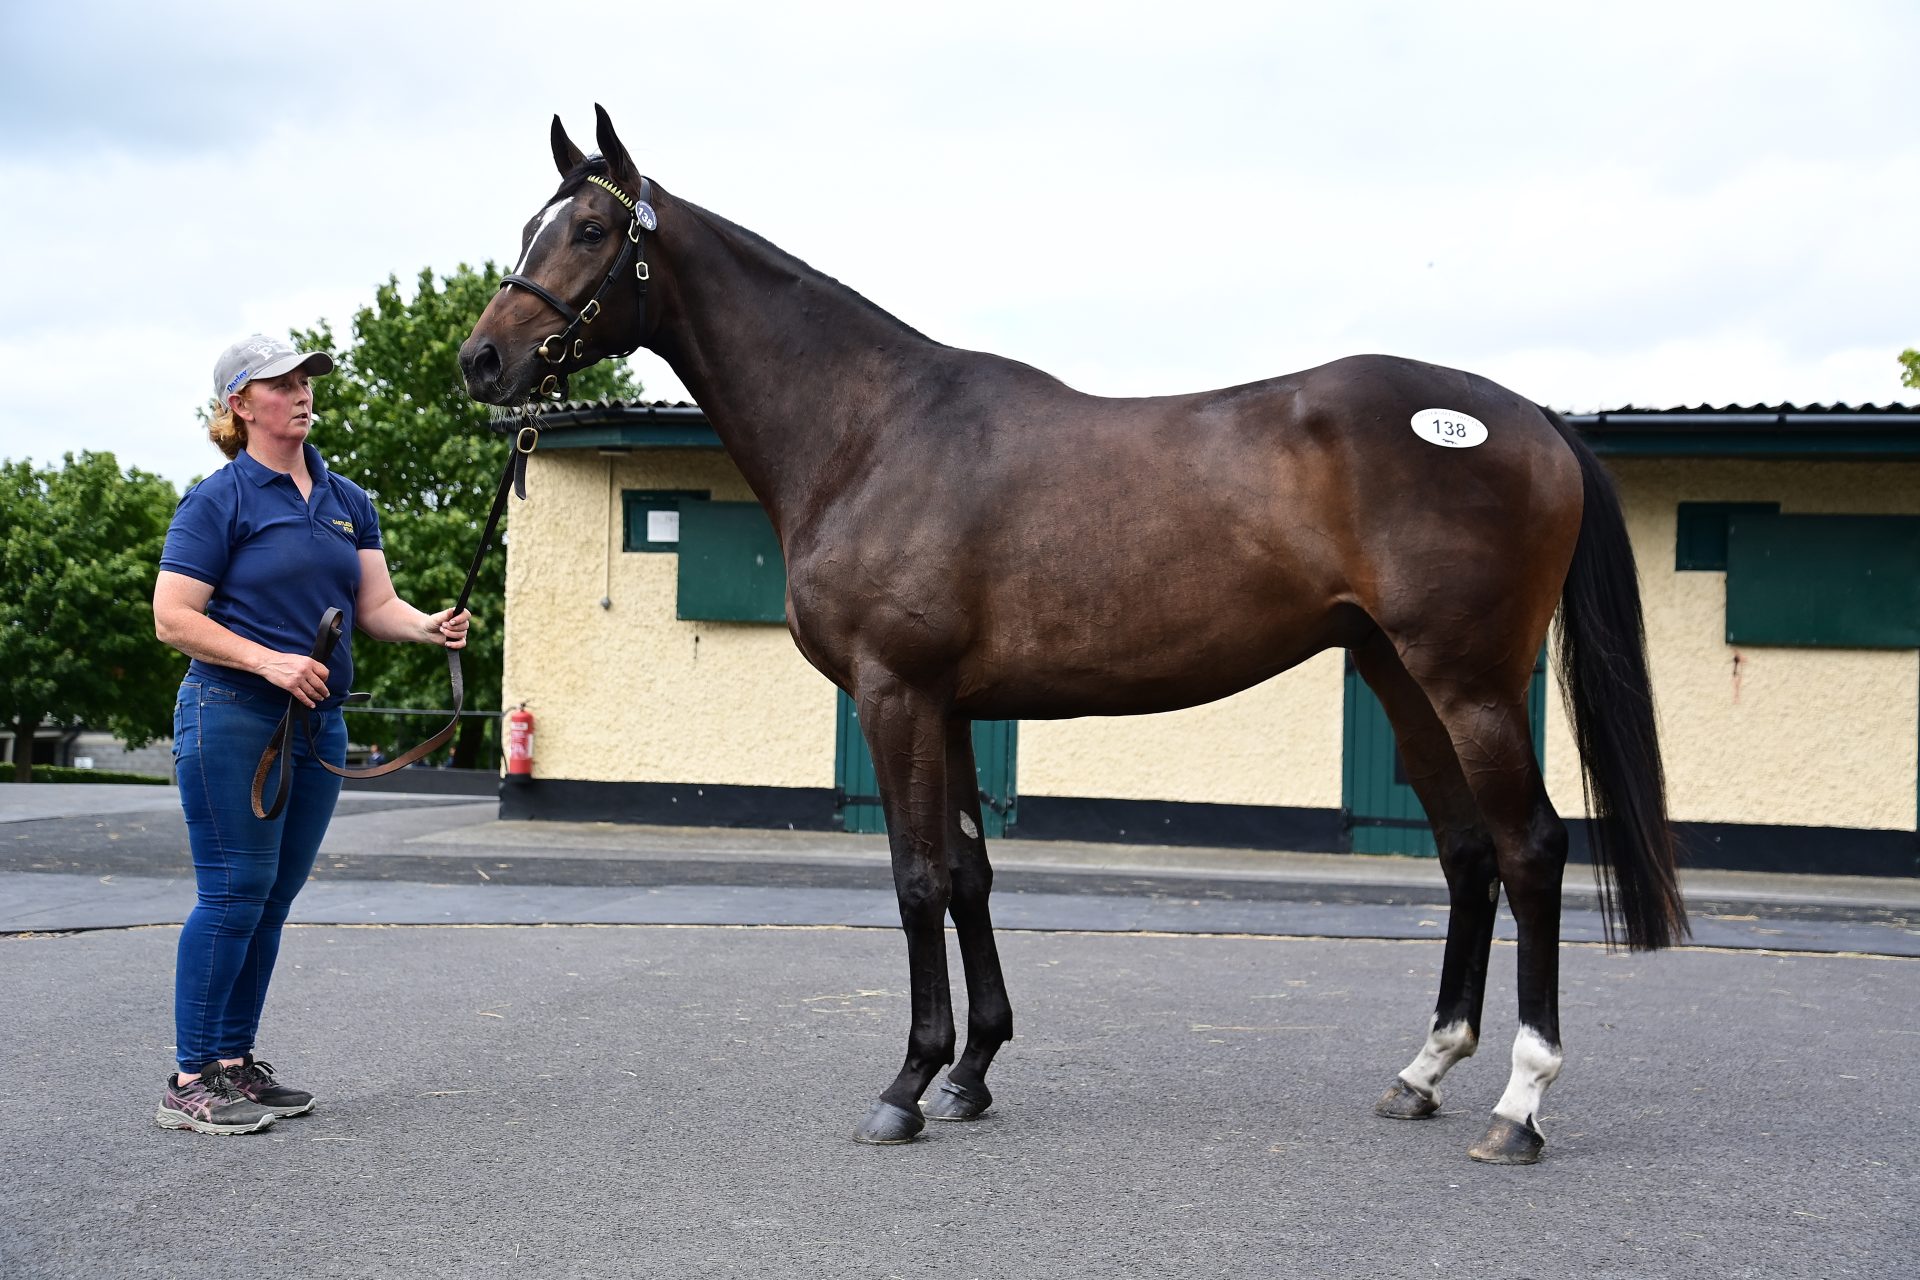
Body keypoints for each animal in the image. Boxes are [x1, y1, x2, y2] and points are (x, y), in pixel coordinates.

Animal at [459, 106, 1687, 1164]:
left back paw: (1521, 1104)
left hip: (1469, 680)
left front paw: (907, 1084)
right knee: (1469, 853)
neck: (871, 429)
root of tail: (1532, 418)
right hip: (1398, 676)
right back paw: (1424, 1071)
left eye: (592, 229)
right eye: (527, 228)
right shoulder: (951, 707)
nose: (482, 362)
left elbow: (915, 878)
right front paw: (972, 1072)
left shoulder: (896, 692)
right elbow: (969, 873)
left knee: (1530, 851)